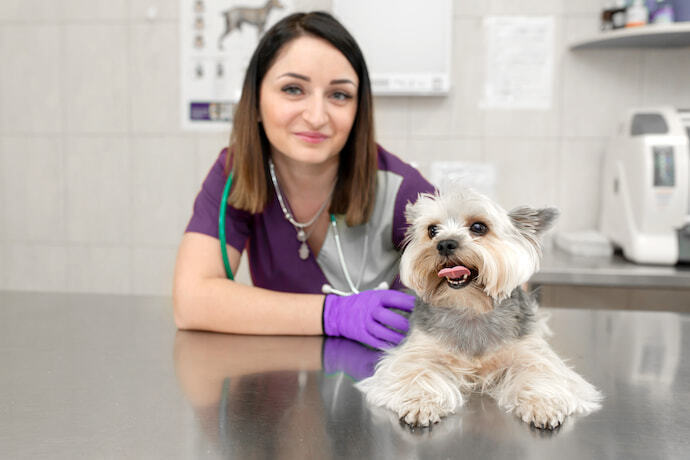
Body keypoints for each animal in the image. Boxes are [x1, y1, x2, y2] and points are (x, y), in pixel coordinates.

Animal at [358, 189, 600, 430]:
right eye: (432, 230)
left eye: (478, 227)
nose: (444, 244)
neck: (470, 308)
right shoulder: (418, 351)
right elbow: (416, 371)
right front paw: (421, 402)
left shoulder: (529, 353)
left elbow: (540, 373)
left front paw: (543, 404)